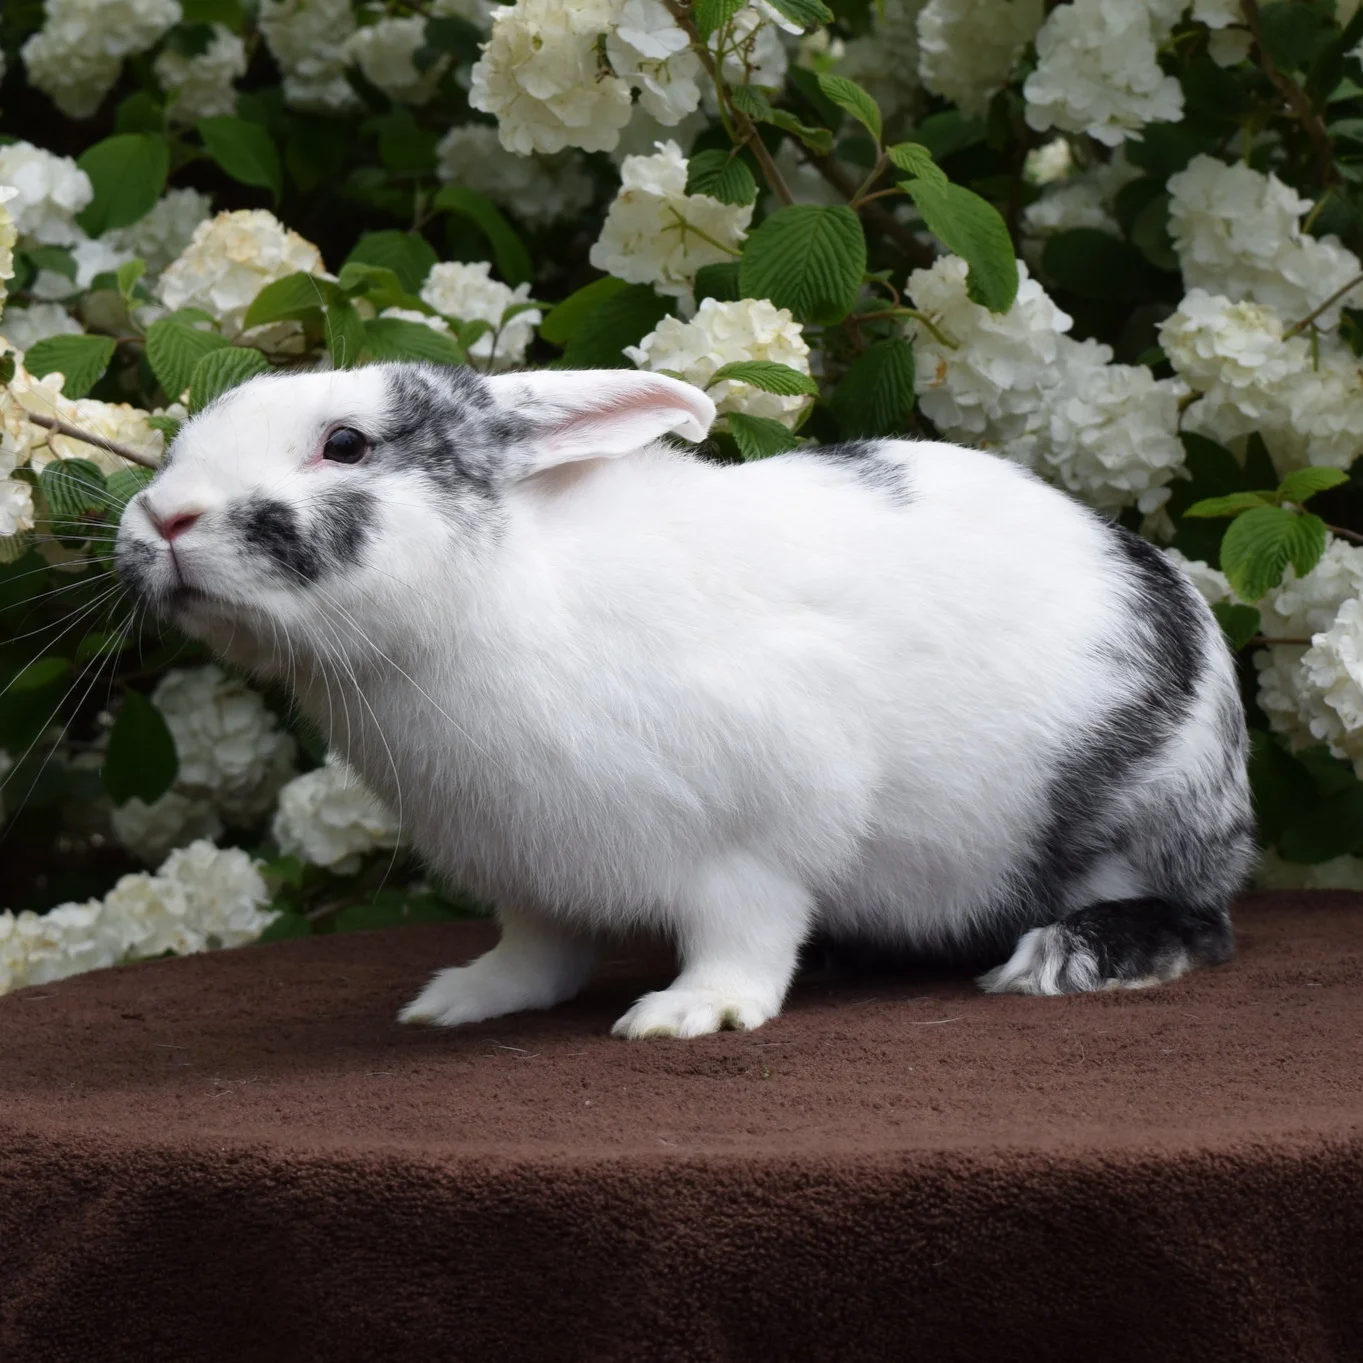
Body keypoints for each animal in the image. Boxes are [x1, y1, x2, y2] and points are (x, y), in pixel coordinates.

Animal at [115, 362, 1255, 1038]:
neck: (493, 593)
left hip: (1144, 811)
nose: (164, 518)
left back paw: (1062, 956)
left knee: (1200, 924)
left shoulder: (759, 834)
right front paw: (460, 1001)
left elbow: (742, 934)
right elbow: (535, 950)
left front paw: (684, 1013)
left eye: (344, 444)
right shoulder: (530, 867)